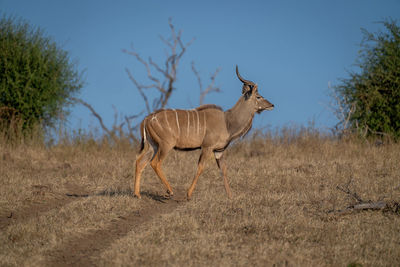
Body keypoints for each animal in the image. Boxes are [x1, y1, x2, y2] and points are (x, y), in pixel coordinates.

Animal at [134, 66, 276, 200]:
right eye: (258, 96)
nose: (272, 105)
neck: (227, 122)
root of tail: (147, 119)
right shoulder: (207, 147)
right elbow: (200, 167)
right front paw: (188, 195)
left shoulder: (219, 151)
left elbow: (223, 170)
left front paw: (230, 197)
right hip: (166, 145)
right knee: (155, 163)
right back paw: (170, 191)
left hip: (153, 146)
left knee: (140, 162)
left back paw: (137, 194)